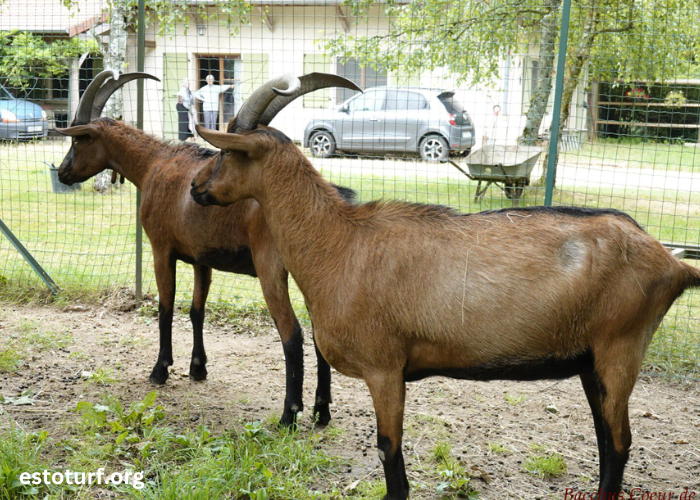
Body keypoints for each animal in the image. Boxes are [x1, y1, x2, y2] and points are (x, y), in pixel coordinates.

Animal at [56, 70, 356, 424]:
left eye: (77, 140)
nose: (62, 172)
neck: (153, 165)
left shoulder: (161, 250)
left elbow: (166, 308)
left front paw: (160, 370)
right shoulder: (202, 259)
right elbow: (196, 310)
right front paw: (198, 368)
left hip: (271, 269)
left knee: (292, 334)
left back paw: (289, 416)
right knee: (317, 334)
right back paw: (321, 410)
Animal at [189, 118, 700, 500]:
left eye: (226, 152)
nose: (194, 187)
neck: (340, 243)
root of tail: (674, 263)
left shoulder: (384, 367)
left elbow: (388, 453)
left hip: (620, 347)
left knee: (620, 444)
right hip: (593, 361)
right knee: (605, 439)